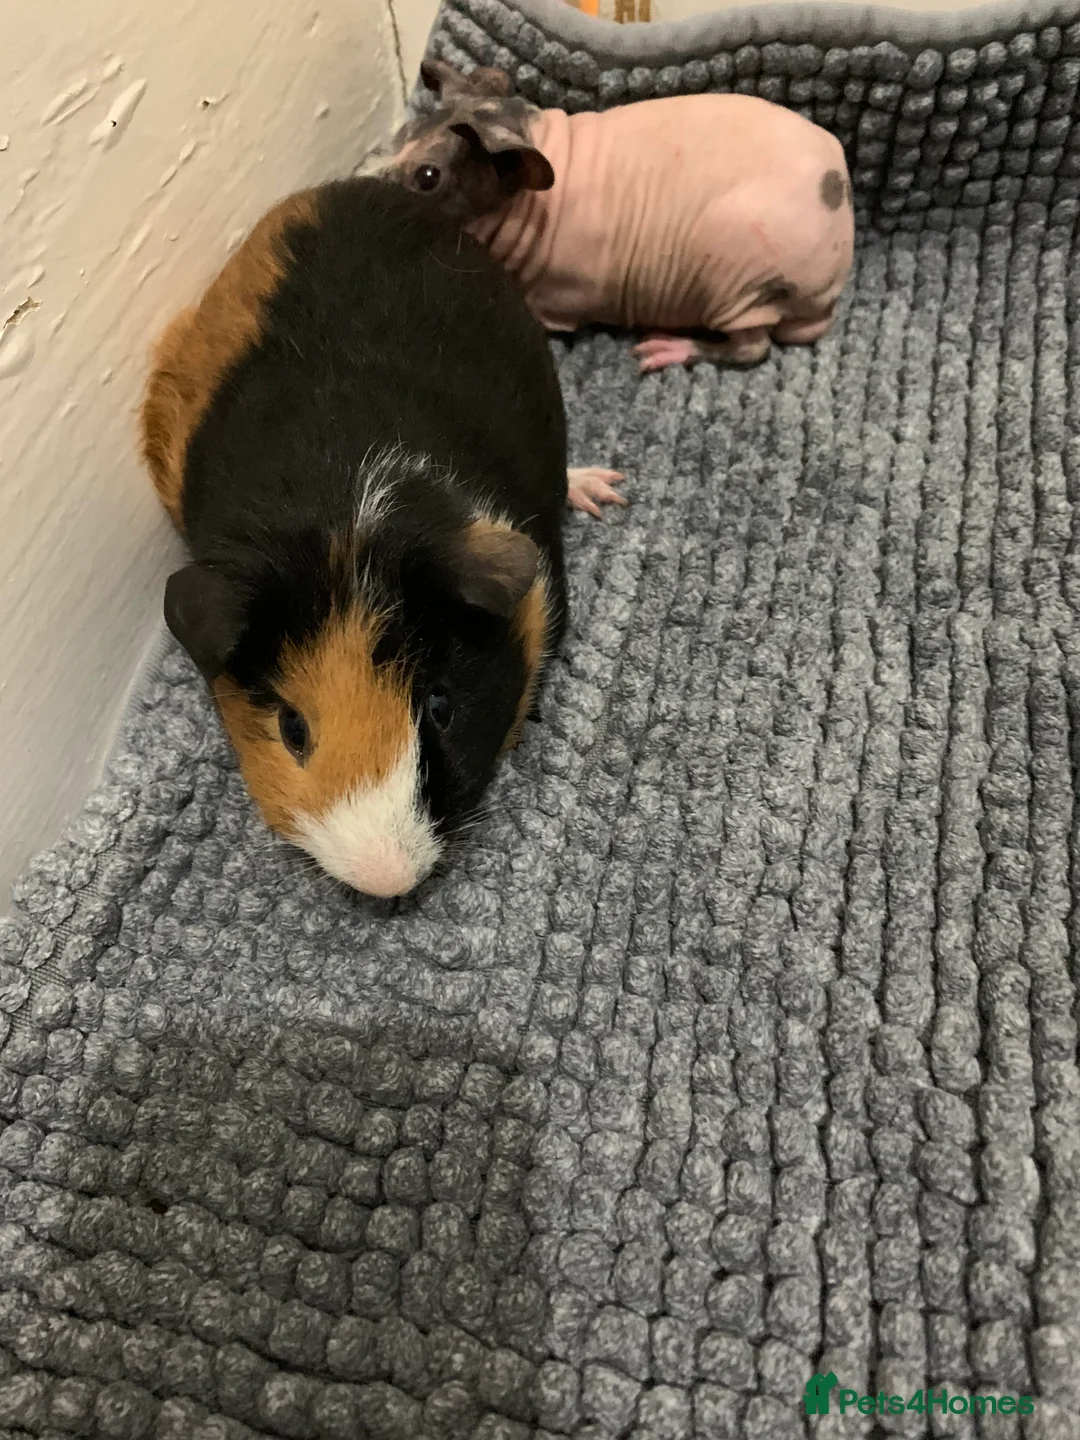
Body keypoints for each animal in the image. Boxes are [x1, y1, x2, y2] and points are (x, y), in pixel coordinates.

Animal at [381, 61, 854, 373]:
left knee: (752, 348)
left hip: (738, 277)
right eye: (399, 137)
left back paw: (679, 348)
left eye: (427, 177)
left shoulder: (559, 297)